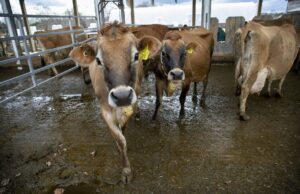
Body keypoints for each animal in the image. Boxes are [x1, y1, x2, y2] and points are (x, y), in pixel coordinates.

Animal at [69, 22, 162, 183]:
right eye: (98, 60)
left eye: (136, 55)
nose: (122, 96)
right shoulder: (105, 110)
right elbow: (119, 139)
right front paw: (125, 169)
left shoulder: (129, 105)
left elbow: (123, 132)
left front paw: (126, 169)